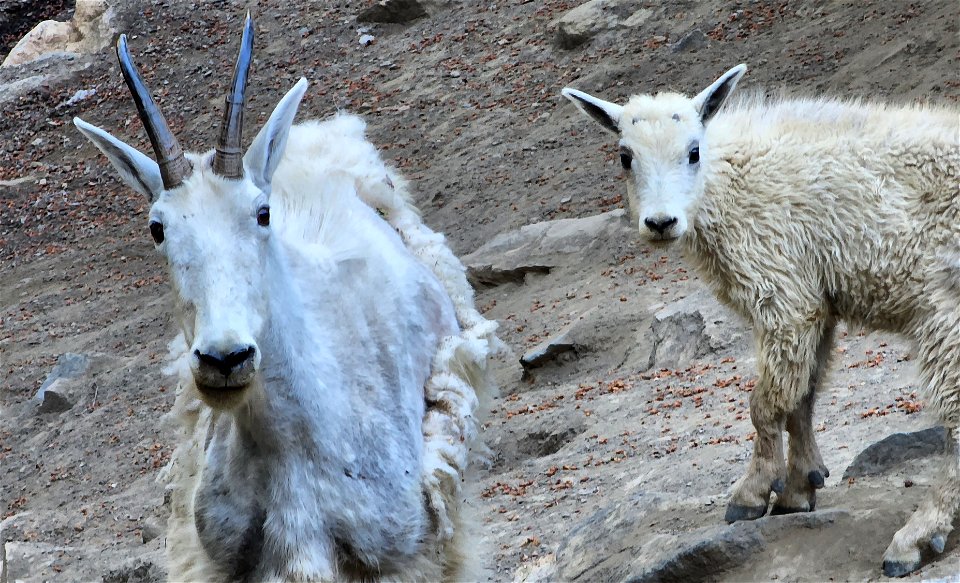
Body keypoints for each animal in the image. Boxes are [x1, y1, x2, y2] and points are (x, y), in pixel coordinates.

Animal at [73, 16, 502, 580]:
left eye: (262, 213)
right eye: (157, 227)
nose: (225, 359)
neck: (290, 441)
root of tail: (315, 138)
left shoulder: (402, 555)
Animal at [564, 66, 960, 576]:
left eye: (693, 151)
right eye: (624, 155)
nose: (660, 222)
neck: (731, 182)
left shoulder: (782, 291)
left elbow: (766, 404)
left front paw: (752, 494)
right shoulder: (816, 300)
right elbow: (802, 396)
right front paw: (801, 486)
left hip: (944, 312)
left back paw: (915, 537)